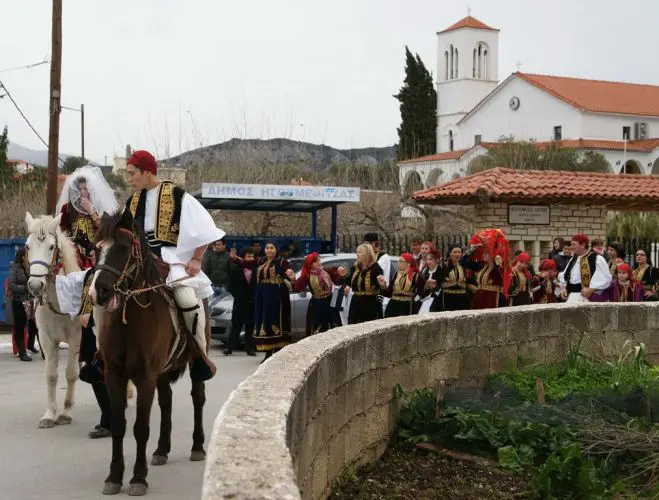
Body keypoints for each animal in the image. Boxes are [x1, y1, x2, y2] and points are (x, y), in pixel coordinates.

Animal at [25, 211, 82, 426]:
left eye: (51, 247)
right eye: (27, 246)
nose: (35, 285)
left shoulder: (76, 337)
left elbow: (71, 373)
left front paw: (65, 412)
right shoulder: (46, 338)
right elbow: (51, 375)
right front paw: (49, 414)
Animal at [91, 208, 208, 496]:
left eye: (123, 247)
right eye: (96, 248)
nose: (100, 292)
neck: (130, 319)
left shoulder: (145, 376)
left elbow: (141, 427)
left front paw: (137, 478)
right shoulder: (115, 375)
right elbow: (119, 425)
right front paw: (114, 475)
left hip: (194, 362)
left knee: (197, 398)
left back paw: (197, 446)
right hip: (162, 372)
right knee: (166, 401)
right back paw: (162, 450)